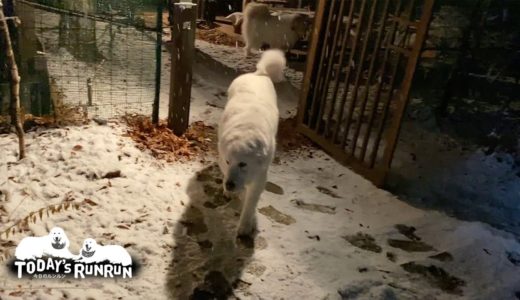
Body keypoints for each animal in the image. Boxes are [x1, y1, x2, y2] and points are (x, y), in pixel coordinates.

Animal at [218, 49, 286, 237]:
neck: (247, 127)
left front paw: (244, 226)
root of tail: (258, 73)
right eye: (228, 161)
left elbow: (250, 203)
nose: (229, 185)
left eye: (243, 163)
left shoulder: (260, 176)